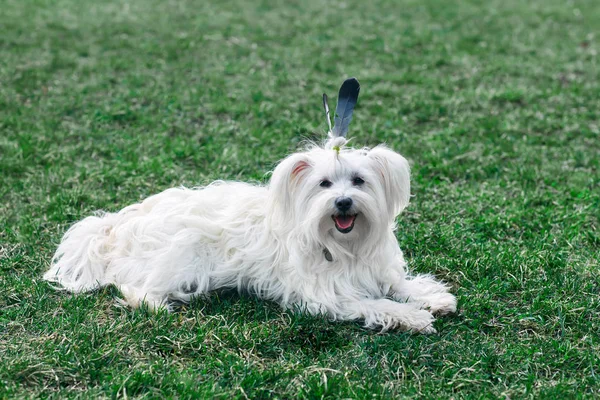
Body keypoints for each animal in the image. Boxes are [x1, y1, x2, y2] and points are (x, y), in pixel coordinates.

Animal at [44, 136, 458, 332]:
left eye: (359, 181)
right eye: (324, 184)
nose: (342, 202)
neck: (342, 245)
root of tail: (114, 225)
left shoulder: (375, 270)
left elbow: (398, 285)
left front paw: (432, 297)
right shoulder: (328, 298)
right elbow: (379, 304)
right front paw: (413, 318)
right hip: (182, 256)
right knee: (134, 288)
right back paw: (159, 306)